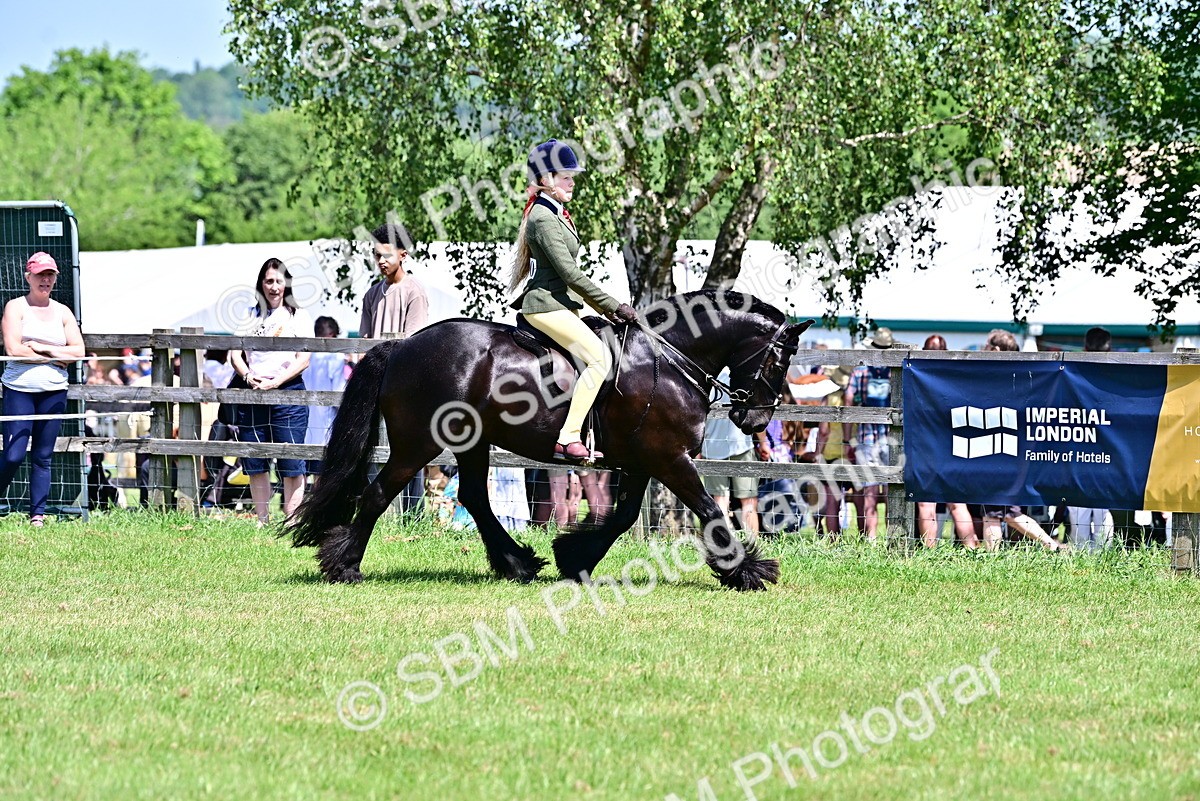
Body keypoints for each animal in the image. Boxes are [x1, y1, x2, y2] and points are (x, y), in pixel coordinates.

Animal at [289, 290, 812, 591]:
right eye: (781, 358)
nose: (755, 418)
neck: (667, 359)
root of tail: (402, 346)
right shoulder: (669, 458)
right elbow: (709, 511)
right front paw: (747, 571)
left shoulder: (641, 462)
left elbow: (623, 518)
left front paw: (574, 558)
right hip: (418, 444)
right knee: (379, 494)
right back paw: (345, 566)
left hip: (472, 443)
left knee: (474, 497)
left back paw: (518, 563)